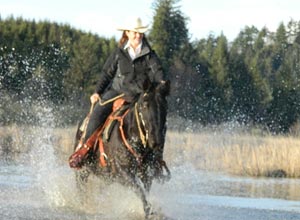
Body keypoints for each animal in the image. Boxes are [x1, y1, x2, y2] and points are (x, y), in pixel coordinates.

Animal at [72, 79, 170, 218]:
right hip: (83, 171)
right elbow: (139, 190)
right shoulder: (122, 172)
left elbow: (145, 190)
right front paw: (148, 211)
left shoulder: (146, 173)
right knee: (81, 189)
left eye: (164, 106)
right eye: (145, 105)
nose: (156, 141)